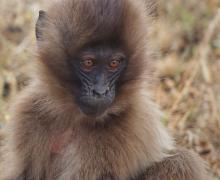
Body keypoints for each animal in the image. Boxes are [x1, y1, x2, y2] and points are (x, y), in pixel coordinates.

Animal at [0, 0, 210, 179]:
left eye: (113, 63)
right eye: (88, 63)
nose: (100, 92)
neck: (75, 119)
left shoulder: (125, 128)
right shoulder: (30, 114)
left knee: (182, 161)